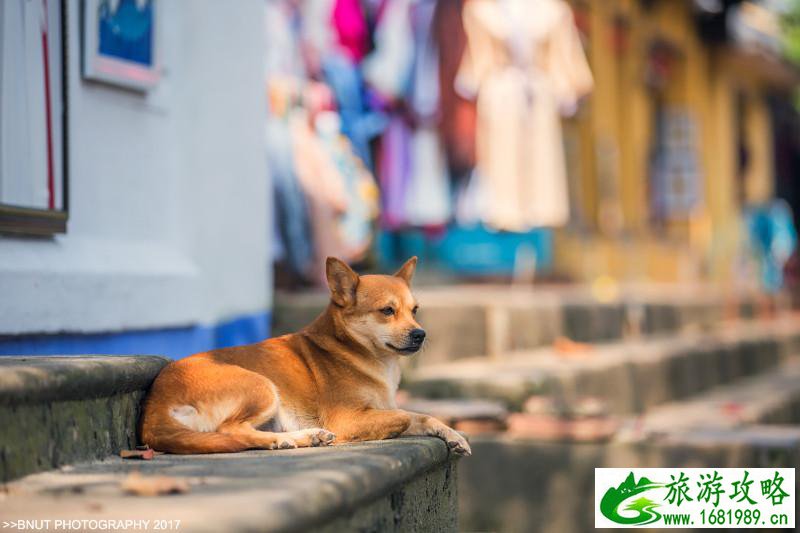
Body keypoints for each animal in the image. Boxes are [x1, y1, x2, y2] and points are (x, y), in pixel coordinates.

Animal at [141, 256, 472, 456]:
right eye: (387, 311)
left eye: (415, 310)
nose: (420, 334)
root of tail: (154, 409)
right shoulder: (346, 419)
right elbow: (403, 416)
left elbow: (422, 415)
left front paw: (454, 435)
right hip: (262, 386)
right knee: (233, 432)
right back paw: (291, 438)